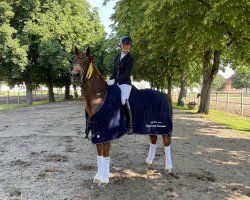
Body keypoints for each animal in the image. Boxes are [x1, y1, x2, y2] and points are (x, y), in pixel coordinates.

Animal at [70, 47, 172, 188]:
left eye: (85, 61)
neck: (99, 97)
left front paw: (104, 180)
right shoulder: (98, 132)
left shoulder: (106, 133)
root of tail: (164, 94)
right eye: (74, 61)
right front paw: (98, 177)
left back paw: (168, 167)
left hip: (163, 127)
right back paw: (149, 161)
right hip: (150, 126)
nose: (74, 75)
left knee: (166, 143)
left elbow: (105, 155)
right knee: (153, 139)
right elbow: (99, 154)